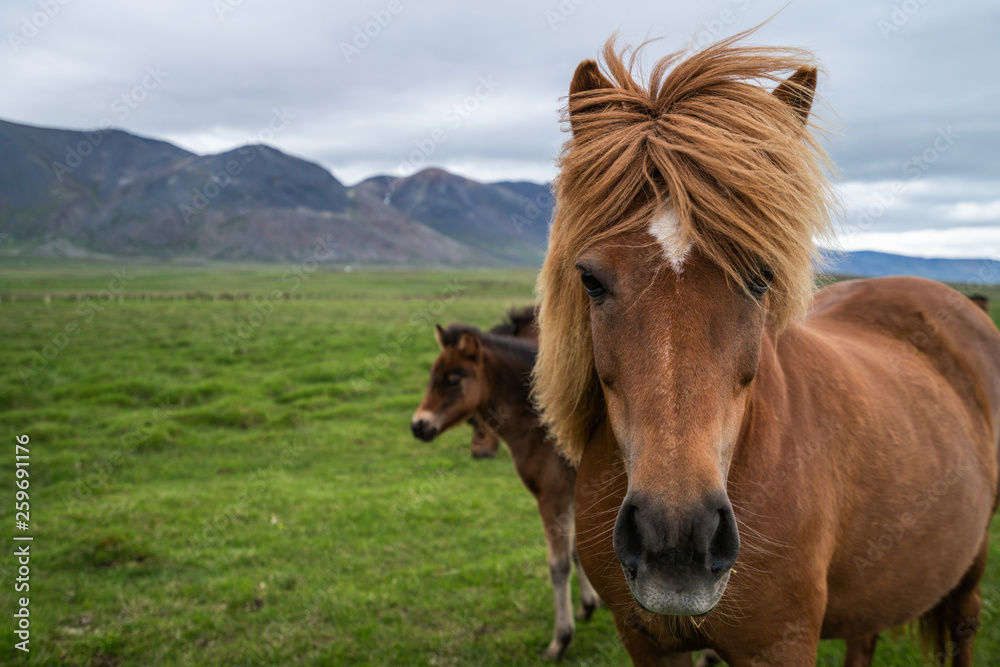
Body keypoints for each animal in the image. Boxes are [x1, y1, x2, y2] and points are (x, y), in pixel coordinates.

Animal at [410, 320, 596, 660]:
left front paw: (560, 641)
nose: (418, 426)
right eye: (432, 376)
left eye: (452, 379)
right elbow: (578, 551)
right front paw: (588, 607)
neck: (540, 423)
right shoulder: (573, 496)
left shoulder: (552, 497)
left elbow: (559, 565)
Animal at [532, 32, 1000, 667]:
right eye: (590, 280)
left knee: (965, 626)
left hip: (970, 564)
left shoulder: (780, 644)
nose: (675, 542)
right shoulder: (646, 643)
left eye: (761, 277)